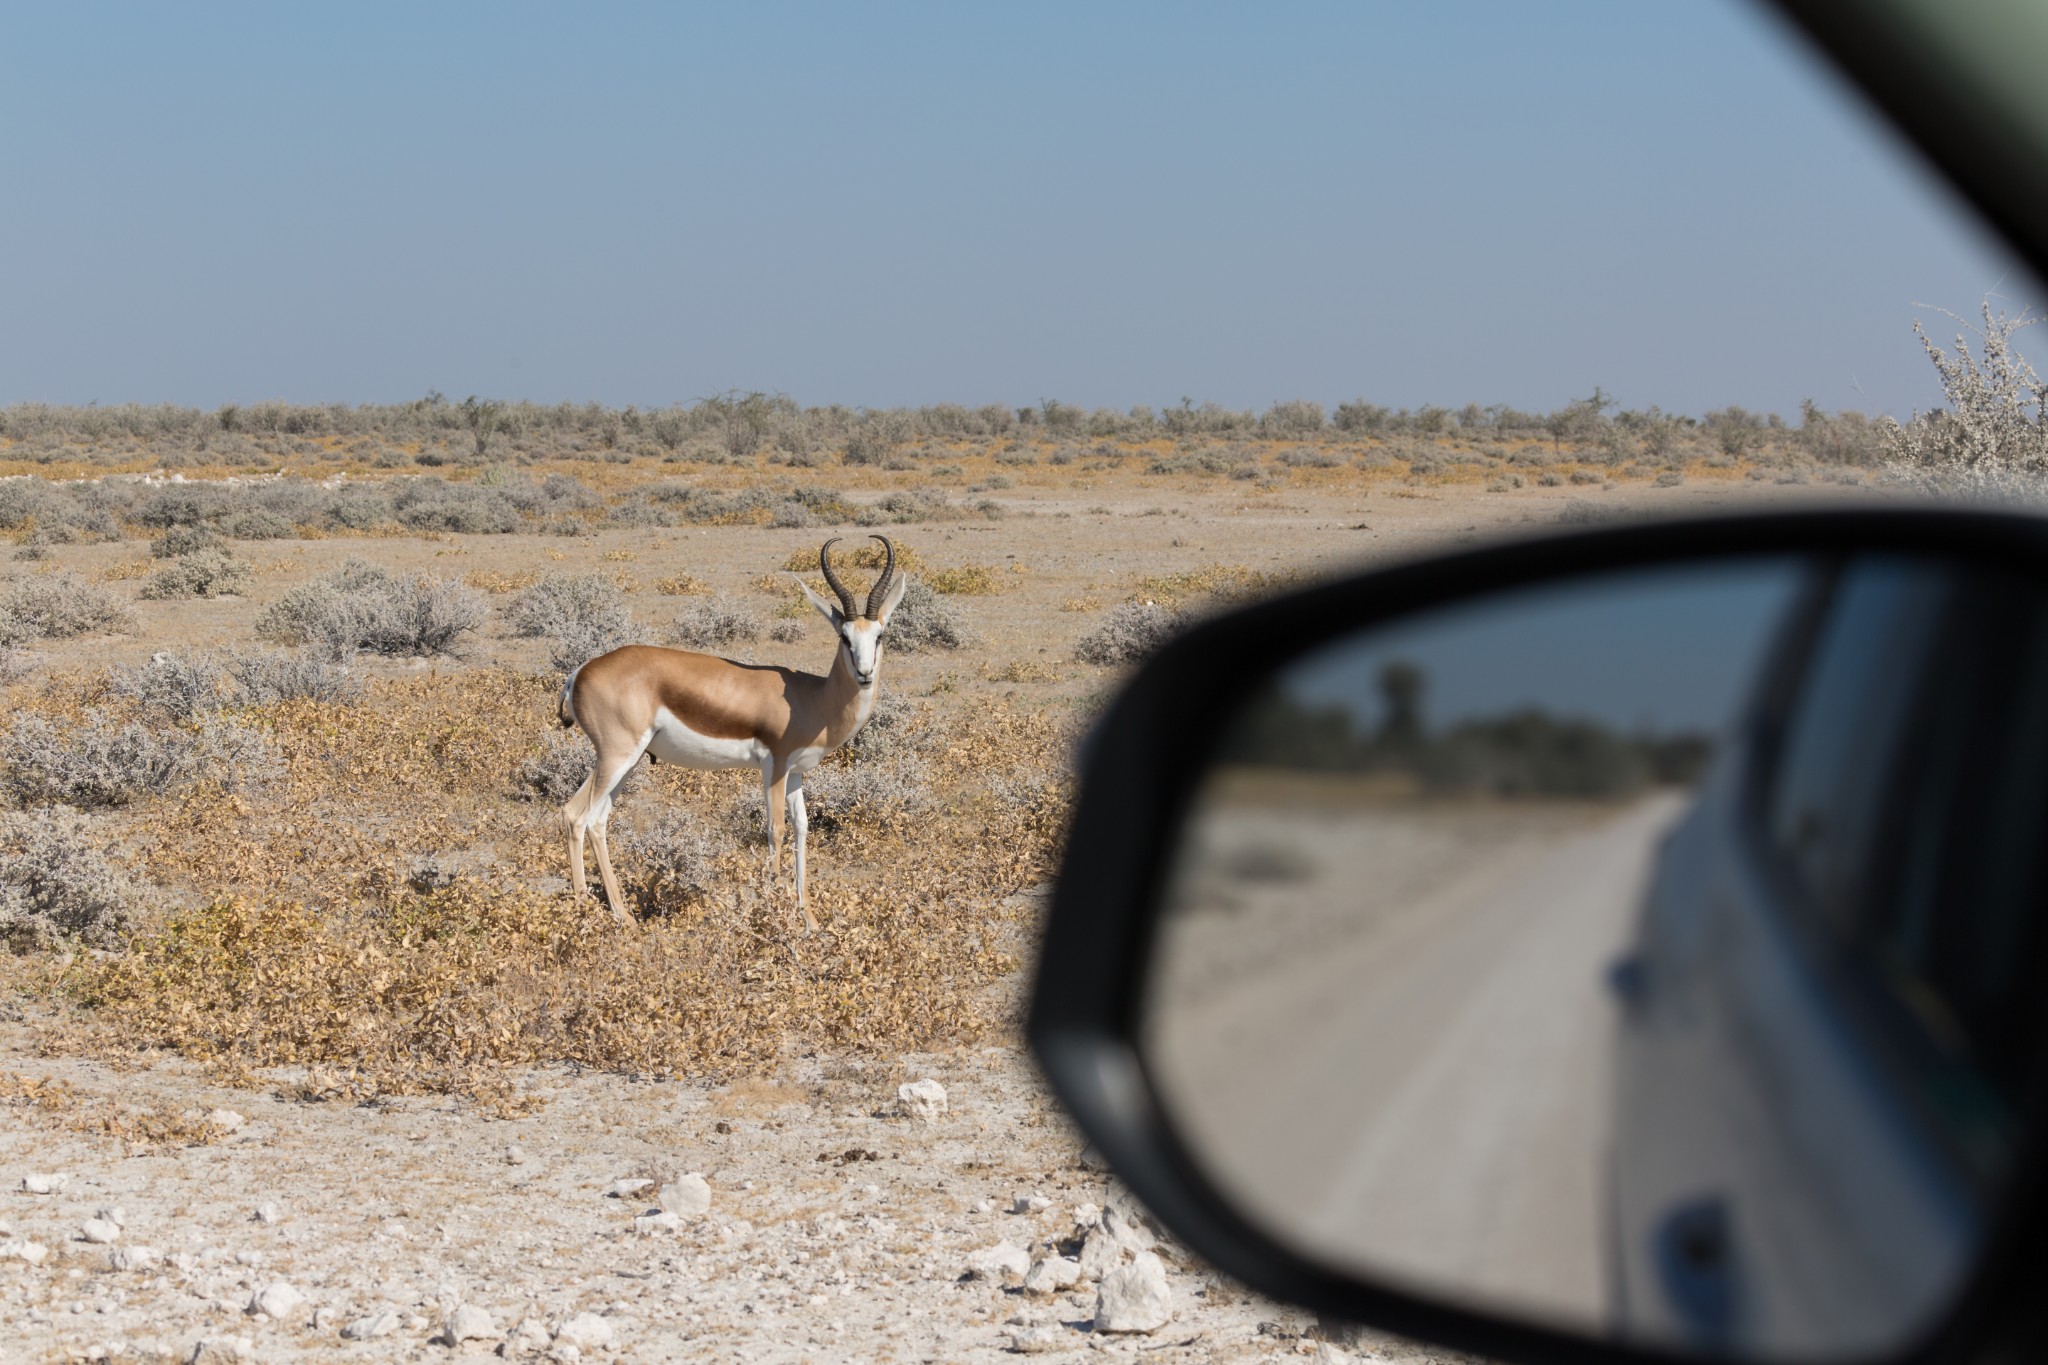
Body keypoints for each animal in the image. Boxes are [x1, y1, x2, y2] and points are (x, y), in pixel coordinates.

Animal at [561, 540, 913, 933]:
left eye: (879, 635)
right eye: (844, 636)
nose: (865, 674)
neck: (813, 698)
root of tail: (579, 673)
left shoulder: (796, 773)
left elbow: (802, 828)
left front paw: (809, 919)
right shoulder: (774, 766)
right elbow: (776, 828)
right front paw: (773, 912)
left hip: (626, 761)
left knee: (586, 817)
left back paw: (604, 912)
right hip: (617, 756)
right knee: (583, 816)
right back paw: (599, 914)